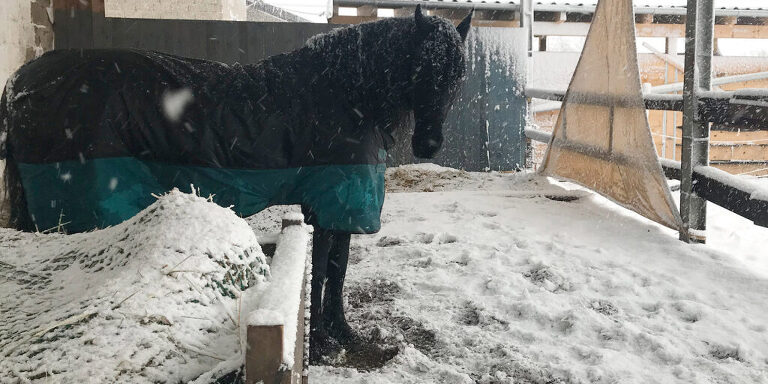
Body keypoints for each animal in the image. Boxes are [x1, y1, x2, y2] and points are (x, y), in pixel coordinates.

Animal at [0, 5, 472, 360]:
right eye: (420, 67)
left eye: (457, 75)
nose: (429, 144)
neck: (346, 97)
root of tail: (20, 82)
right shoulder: (328, 201)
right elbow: (322, 271)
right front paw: (320, 341)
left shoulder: (342, 205)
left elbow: (338, 271)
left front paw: (342, 332)